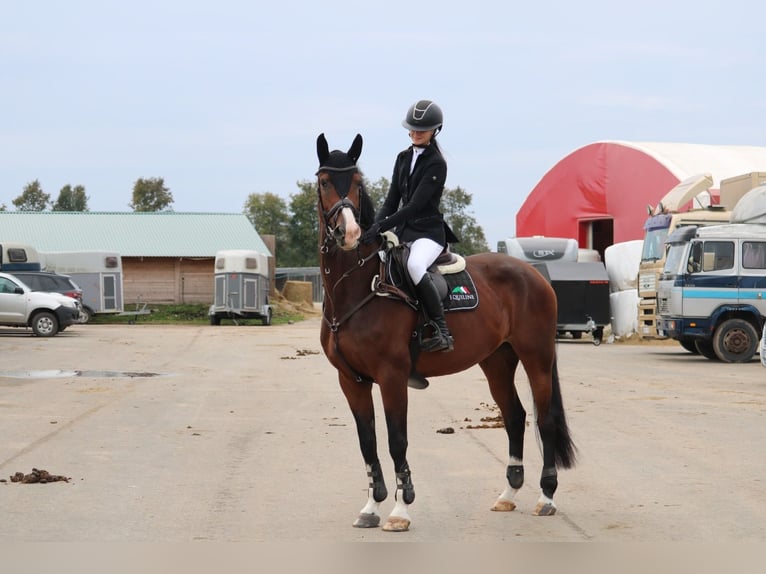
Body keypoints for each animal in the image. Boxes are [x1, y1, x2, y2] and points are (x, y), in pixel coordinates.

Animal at [316, 133, 576, 532]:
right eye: (325, 181)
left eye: (358, 183)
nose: (350, 233)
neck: (358, 286)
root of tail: (533, 274)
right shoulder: (352, 380)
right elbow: (367, 442)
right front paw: (371, 507)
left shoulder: (391, 376)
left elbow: (396, 440)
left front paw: (400, 510)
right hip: (497, 360)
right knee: (515, 416)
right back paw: (508, 494)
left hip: (537, 357)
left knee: (544, 419)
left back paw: (546, 497)